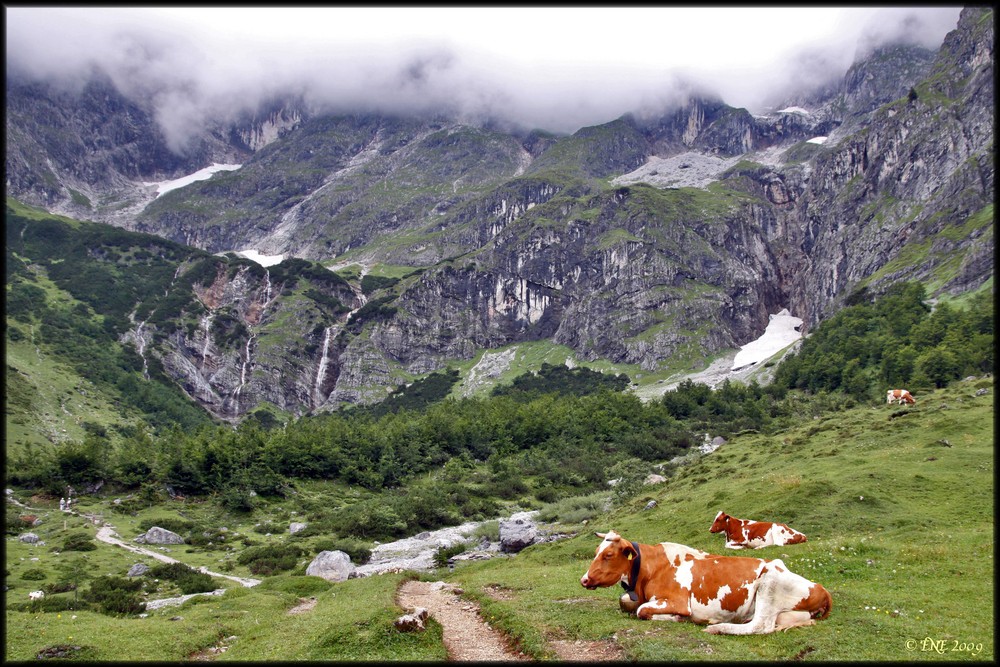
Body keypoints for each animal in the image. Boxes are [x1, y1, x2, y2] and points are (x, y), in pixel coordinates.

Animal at [580, 528, 828, 636]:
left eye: (608, 555)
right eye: (596, 551)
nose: (584, 579)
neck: (651, 570)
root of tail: (821, 588)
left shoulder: (678, 601)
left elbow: (642, 610)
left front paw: (675, 618)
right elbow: (626, 602)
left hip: (769, 582)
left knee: (760, 626)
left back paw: (716, 627)